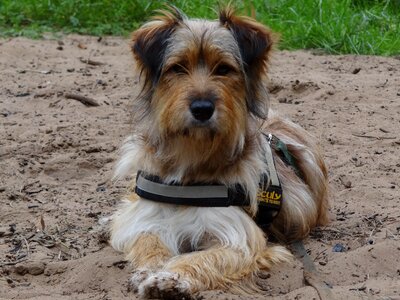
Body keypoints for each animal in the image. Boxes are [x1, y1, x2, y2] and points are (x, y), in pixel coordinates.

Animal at [110, 5, 328, 298]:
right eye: (178, 68)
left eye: (223, 69)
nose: (202, 108)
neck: (192, 157)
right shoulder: (150, 218)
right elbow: (148, 242)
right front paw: (149, 270)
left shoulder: (236, 234)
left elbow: (205, 257)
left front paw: (170, 278)